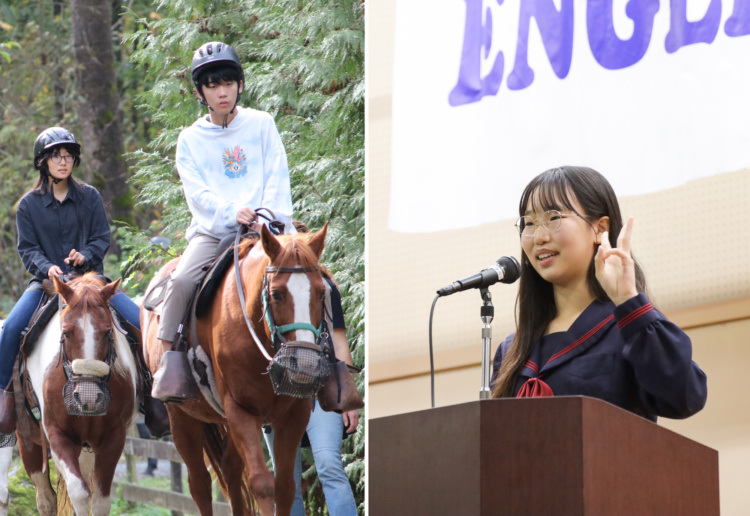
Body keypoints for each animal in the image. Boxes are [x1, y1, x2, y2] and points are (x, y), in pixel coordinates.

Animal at [16, 276, 140, 512]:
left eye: (108, 332)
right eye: (65, 333)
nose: (88, 397)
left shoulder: (114, 437)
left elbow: (100, 500)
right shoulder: (58, 434)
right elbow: (79, 493)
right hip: (29, 443)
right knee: (46, 499)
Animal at [142, 224, 328, 512]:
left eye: (321, 292)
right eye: (276, 294)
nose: (305, 365)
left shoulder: (294, 415)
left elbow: (286, 487)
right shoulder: (241, 410)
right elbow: (262, 484)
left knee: (230, 469)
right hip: (181, 417)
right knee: (199, 483)